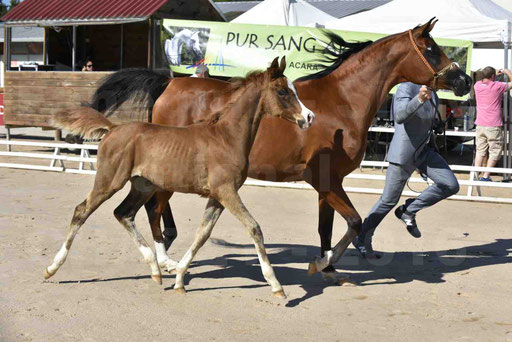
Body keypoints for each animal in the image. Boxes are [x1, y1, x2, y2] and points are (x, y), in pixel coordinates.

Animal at [45, 58, 308, 296]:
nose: (307, 118)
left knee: (124, 213)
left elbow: (203, 234)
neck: (226, 136)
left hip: (142, 186)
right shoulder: (226, 191)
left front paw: (180, 279)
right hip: (109, 181)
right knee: (82, 211)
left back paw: (155, 268)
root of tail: (113, 128)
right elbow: (254, 227)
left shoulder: (217, 196)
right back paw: (52, 267)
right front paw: (275, 284)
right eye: (283, 91)